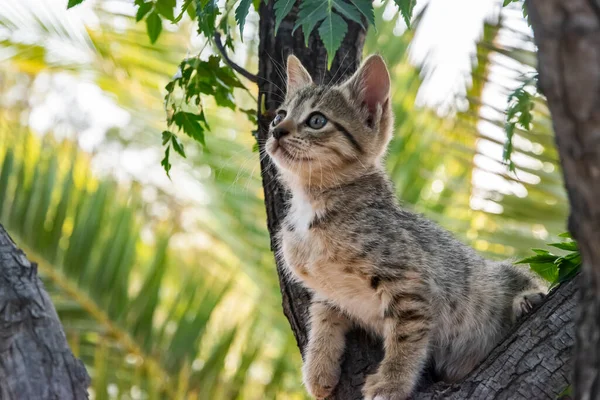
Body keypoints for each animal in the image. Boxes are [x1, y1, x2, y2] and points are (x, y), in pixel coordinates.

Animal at [264, 54, 548, 400]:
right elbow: (322, 319)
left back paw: (527, 299)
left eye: (317, 120)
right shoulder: (327, 290)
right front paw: (318, 368)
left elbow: (406, 336)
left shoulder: (411, 282)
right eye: (280, 115)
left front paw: (392, 382)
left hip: (494, 276)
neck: (312, 206)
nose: (276, 131)